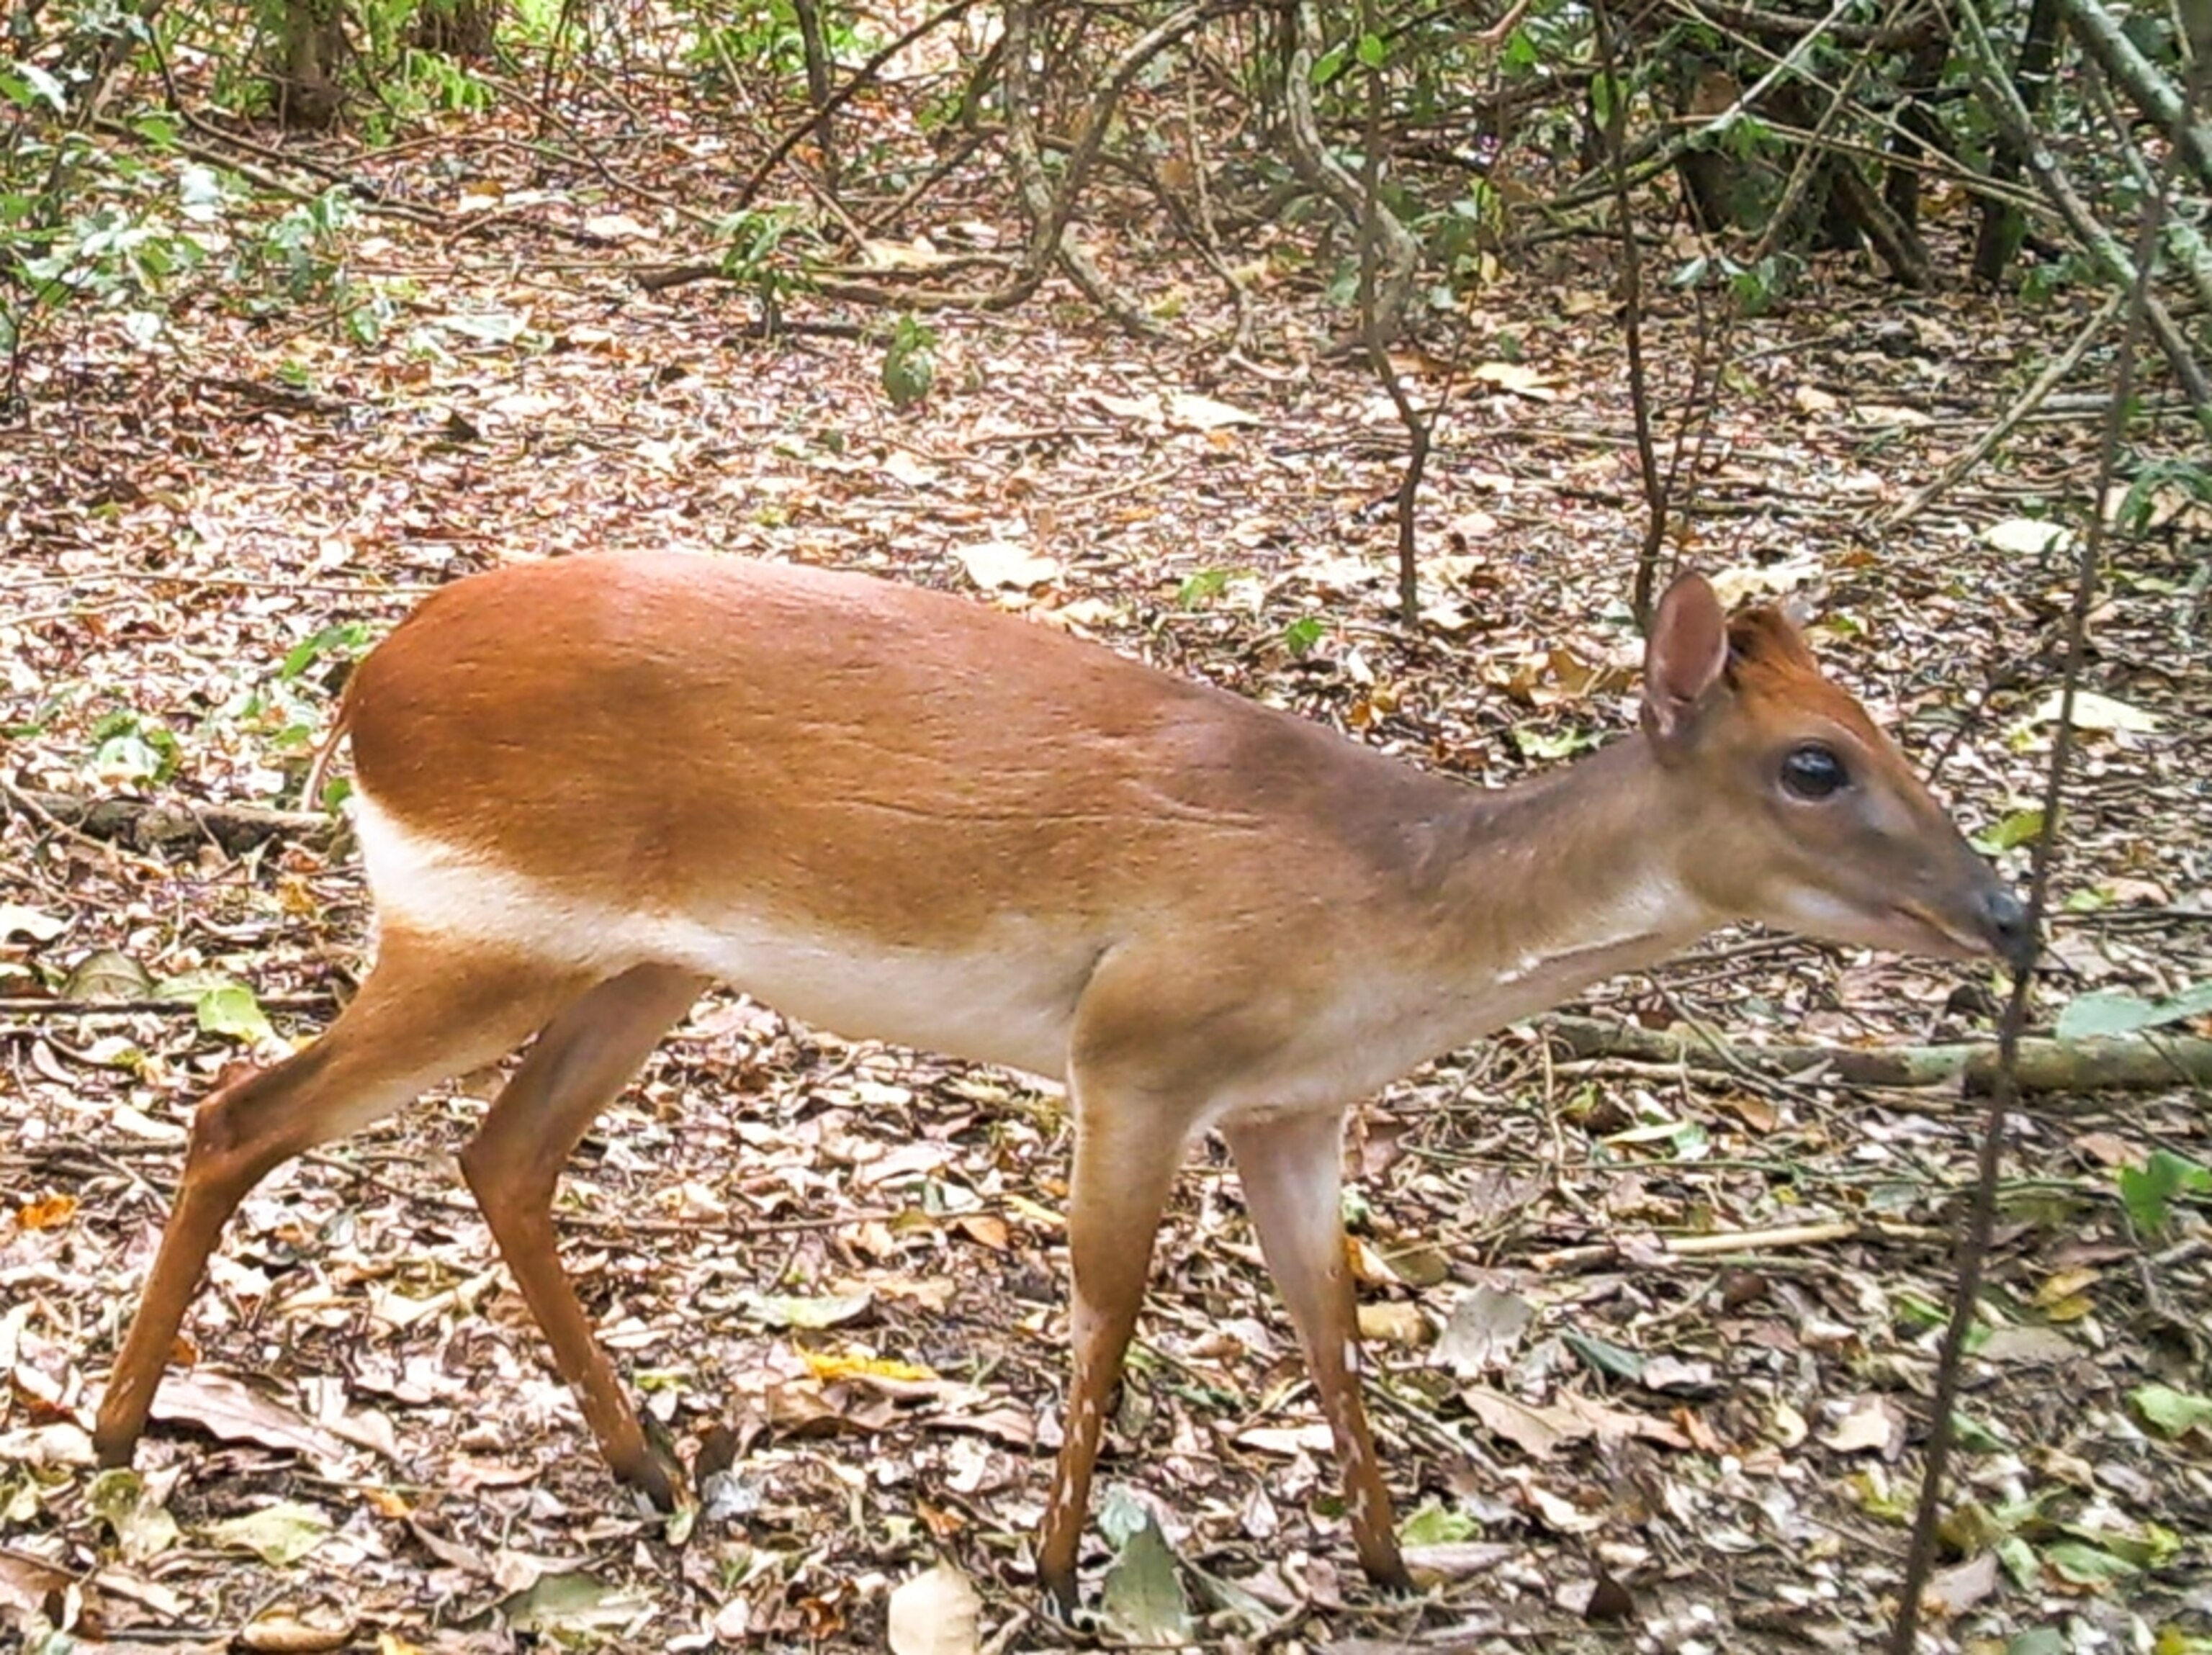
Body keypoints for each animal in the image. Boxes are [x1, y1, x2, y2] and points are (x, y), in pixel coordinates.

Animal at [93, 552, 2031, 1610]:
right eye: (1814, 762)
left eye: (1885, 736)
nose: (2007, 911)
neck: (1388, 927)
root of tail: (361, 691)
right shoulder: (1138, 1048)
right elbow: (1107, 1301)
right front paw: (1042, 1565)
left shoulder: (1295, 1108)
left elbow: (1328, 1318)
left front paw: (1390, 1560)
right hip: (482, 926)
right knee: (243, 1108)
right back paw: (116, 1428)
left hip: (642, 962)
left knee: (501, 1154)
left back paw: (645, 1458)